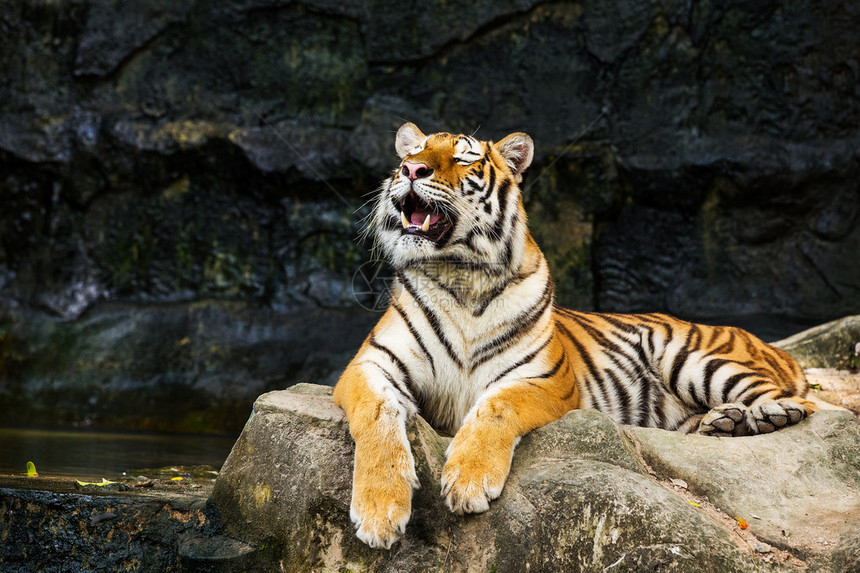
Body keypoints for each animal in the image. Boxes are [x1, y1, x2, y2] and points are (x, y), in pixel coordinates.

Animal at [330, 123, 820, 548]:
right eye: (412, 153)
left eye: (463, 158)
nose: (412, 170)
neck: (461, 274)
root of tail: (765, 342)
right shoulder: (371, 364)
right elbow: (377, 417)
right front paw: (378, 512)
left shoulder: (544, 379)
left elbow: (496, 408)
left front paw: (468, 481)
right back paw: (725, 422)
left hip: (692, 358)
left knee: (799, 401)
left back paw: (768, 415)